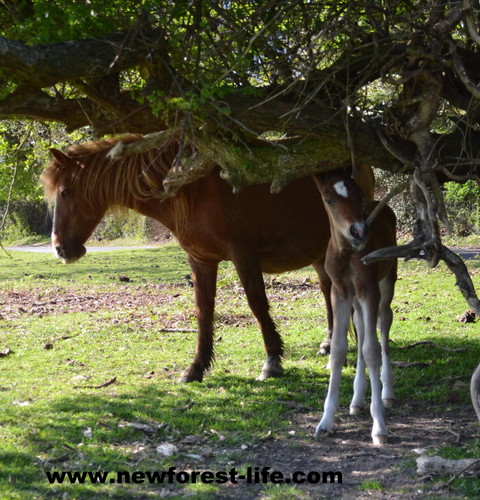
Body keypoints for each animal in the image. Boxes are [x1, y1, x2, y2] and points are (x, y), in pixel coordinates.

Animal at [42, 136, 376, 382]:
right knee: (328, 290)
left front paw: (272, 360)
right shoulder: (200, 260)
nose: (60, 248)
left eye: (66, 192)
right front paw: (196, 367)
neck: (190, 189)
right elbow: (204, 311)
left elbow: (257, 303)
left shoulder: (243, 254)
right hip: (319, 252)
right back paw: (330, 343)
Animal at [314, 169, 396, 446]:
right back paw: (357, 400)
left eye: (358, 194)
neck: (348, 253)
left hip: (386, 282)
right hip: (356, 299)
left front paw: (379, 426)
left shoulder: (368, 288)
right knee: (360, 327)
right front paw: (325, 422)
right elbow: (339, 350)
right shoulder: (340, 291)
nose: (359, 231)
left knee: (384, 321)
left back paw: (386, 393)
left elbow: (372, 349)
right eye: (329, 200)